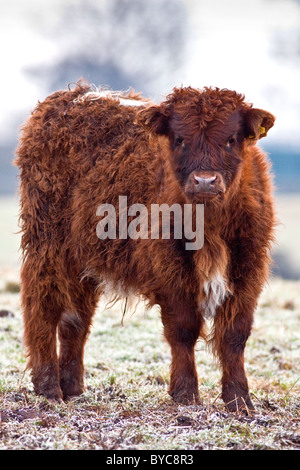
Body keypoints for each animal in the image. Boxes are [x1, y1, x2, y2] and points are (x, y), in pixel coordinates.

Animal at [15, 82, 276, 414]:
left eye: (231, 139)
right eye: (179, 139)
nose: (205, 181)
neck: (210, 224)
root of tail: (73, 94)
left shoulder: (248, 270)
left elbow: (235, 334)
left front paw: (239, 400)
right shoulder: (170, 269)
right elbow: (183, 329)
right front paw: (185, 394)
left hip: (82, 257)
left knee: (76, 319)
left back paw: (73, 387)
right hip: (48, 244)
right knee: (43, 306)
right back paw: (49, 387)